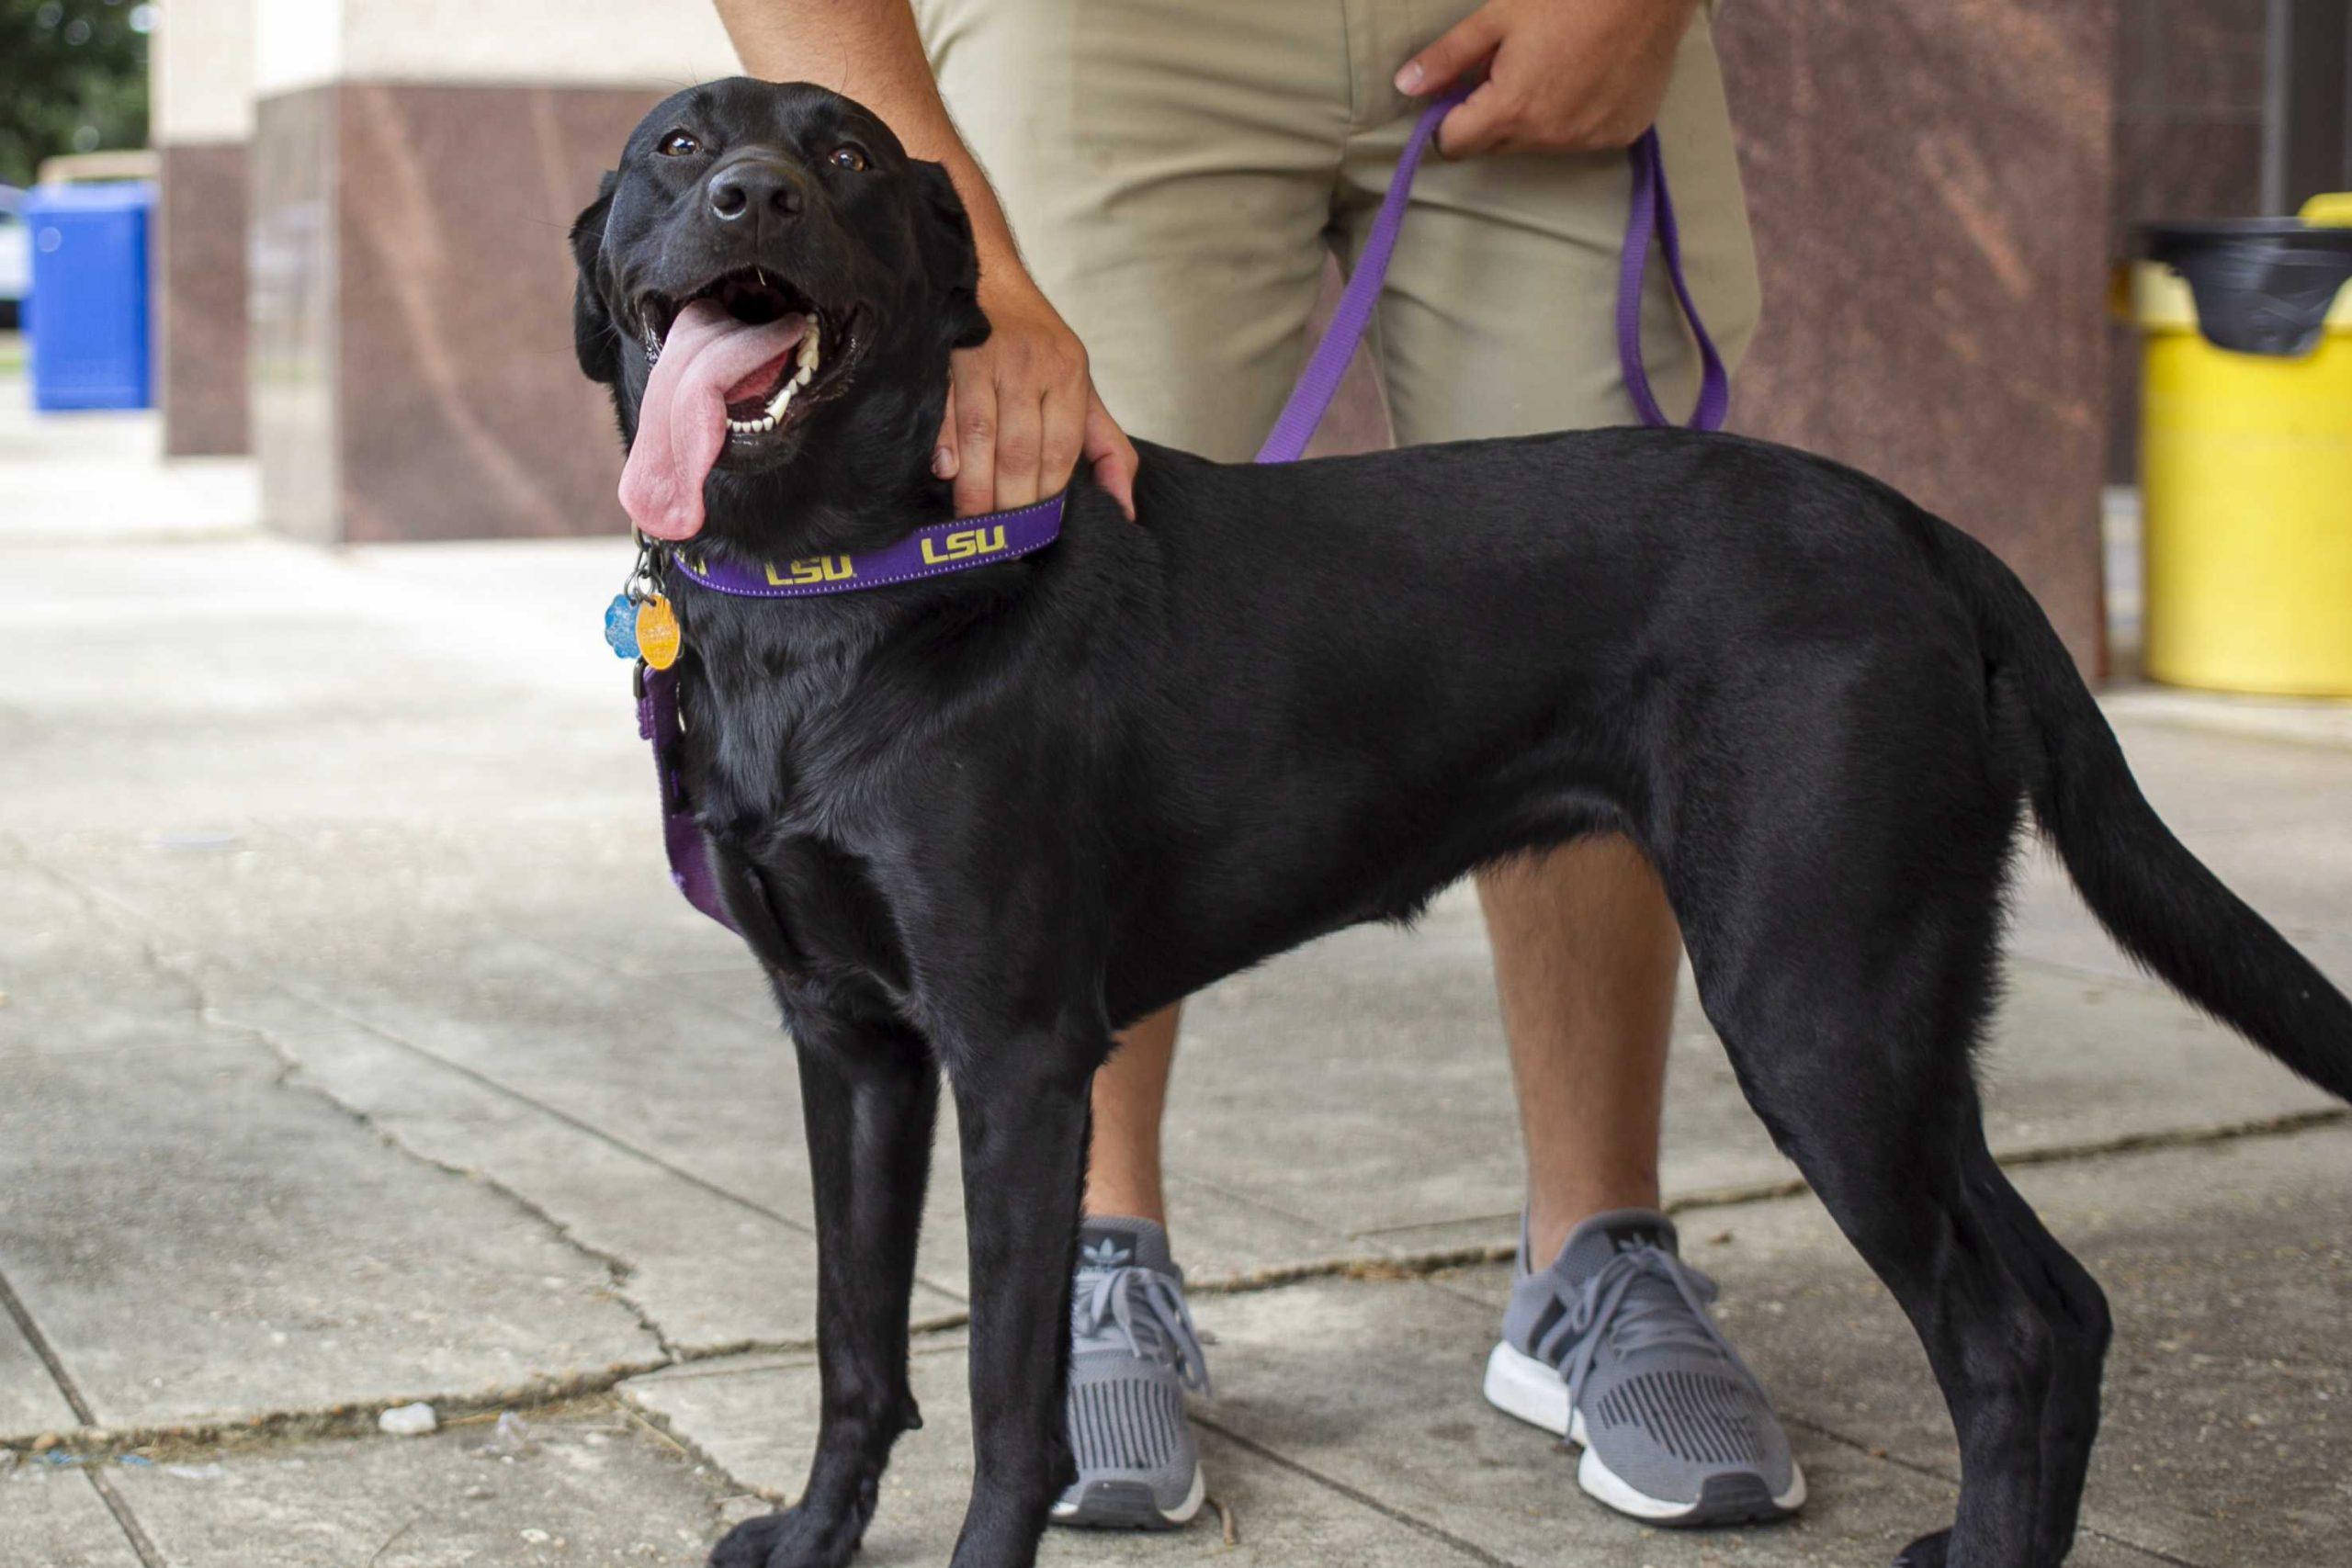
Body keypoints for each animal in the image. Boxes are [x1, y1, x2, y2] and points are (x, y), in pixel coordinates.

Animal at [573, 80, 2352, 1568]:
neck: (835, 584)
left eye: (849, 158)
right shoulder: (851, 1045)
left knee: (2012, 1334)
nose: (749, 196)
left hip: (1818, 1007)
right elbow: (853, 1340)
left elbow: (1013, 1401)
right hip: (1897, 1019)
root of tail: (1923, 527)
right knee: (2067, 1303)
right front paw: (814, 1535)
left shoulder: (1014, 1055)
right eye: (679, 144)